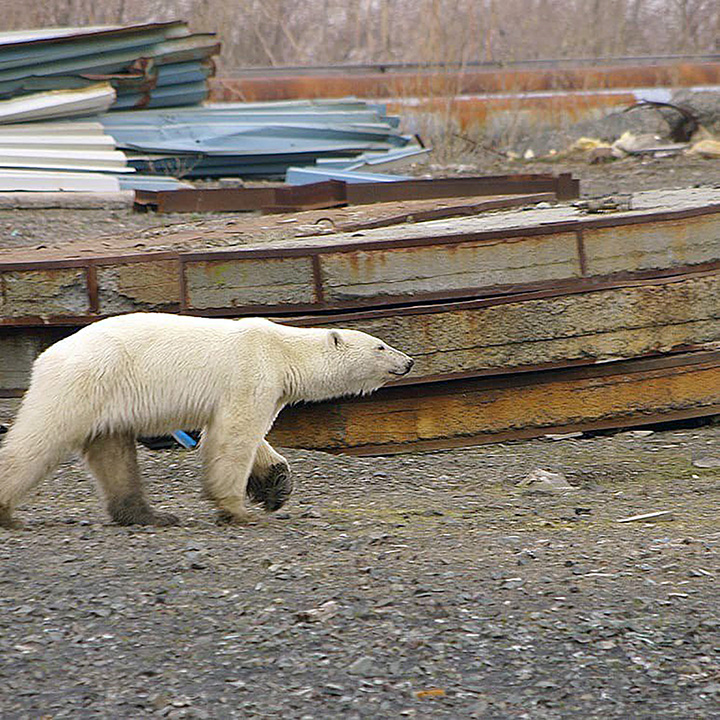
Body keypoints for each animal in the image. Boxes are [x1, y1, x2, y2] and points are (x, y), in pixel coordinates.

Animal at [0, 314, 414, 528]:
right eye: (380, 345)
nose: (409, 361)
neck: (283, 350)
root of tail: (46, 356)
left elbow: (244, 436)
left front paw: (276, 486)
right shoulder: (251, 371)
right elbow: (236, 434)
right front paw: (237, 510)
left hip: (107, 400)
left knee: (113, 453)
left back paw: (150, 515)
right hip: (85, 382)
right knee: (40, 438)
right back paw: (6, 511)